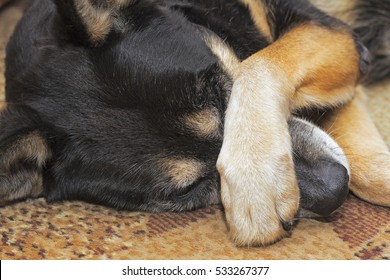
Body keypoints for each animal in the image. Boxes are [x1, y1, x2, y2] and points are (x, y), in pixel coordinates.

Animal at [0, 0, 390, 245]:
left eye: (218, 92)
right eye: (187, 190)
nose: (335, 190)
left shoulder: (336, 36)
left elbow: (259, 63)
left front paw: (255, 174)